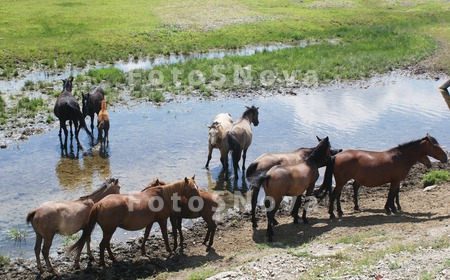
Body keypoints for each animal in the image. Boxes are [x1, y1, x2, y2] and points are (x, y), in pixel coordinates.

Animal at [68, 177, 199, 266]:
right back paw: (103, 263)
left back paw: (113, 259)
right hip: (109, 230)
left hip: (109, 231)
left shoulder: (150, 222)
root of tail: (99, 204)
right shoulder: (162, 220)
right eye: (193, 188)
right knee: (102, 245)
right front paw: (169, 250)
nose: (198, 201)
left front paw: (143, 251)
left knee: (106, 245)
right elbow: (165, 236)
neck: (163, 196)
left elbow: (146, 235)